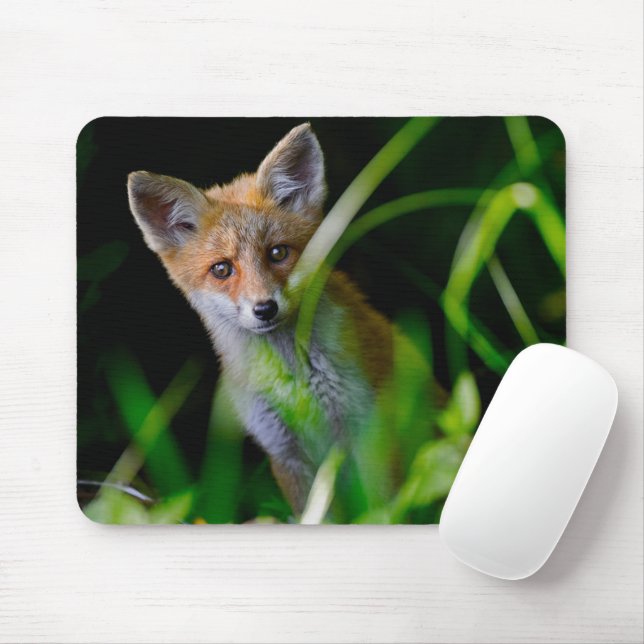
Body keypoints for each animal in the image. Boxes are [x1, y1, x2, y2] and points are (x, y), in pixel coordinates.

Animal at [127, 123, 396, 515]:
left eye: (278, 253)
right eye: (222, 269)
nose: (265, 309)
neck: (295, 380)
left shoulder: (368, 433)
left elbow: (386, 507)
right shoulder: (284, 452)